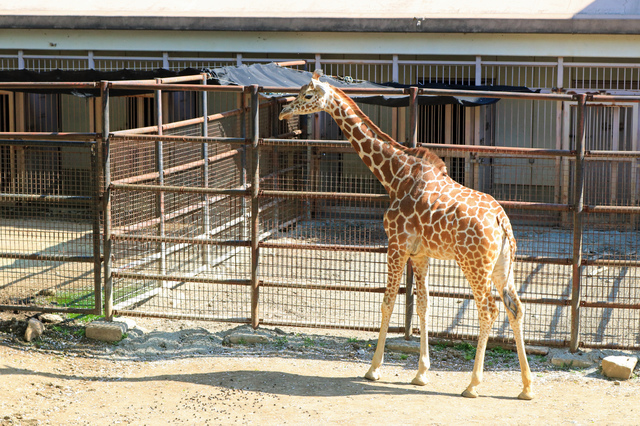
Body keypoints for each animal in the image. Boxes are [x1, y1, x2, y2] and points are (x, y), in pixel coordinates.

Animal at [280, 70, 536, 400]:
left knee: (488, 311)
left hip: (474, 264)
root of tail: (500, 220)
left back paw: (473, 384)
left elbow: (388, 302)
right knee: (515, 308)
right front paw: (421, 374)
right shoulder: (421, 253)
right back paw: (527, 387)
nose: (284, 110)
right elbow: (423, 305)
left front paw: (374, 369)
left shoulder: (396, 244)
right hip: (503, 265)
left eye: (308, 95)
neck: (394, 175)